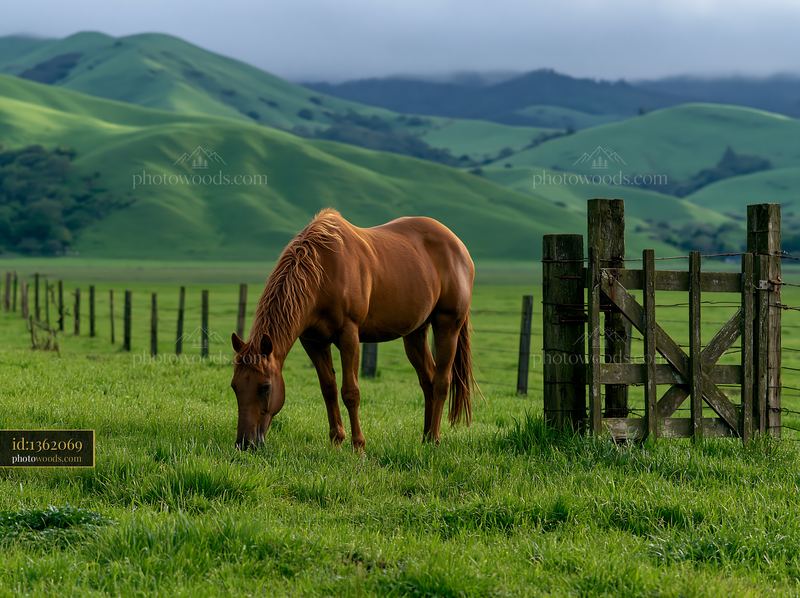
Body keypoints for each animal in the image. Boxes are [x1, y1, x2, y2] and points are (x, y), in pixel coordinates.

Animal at [230, 208, 476, 450]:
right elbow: (328, 388)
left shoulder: (349, 336)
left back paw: (434, 438)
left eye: (265, 387)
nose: (245, 443)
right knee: (427, 380)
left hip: (447, 325)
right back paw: (425, 438)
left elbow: (351, 392)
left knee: (442, 382)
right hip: (415, 333)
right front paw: (336, 440)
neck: (323, 271)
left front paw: (358, 446)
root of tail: (458, 245)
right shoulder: (313, 341)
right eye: (234, 387)